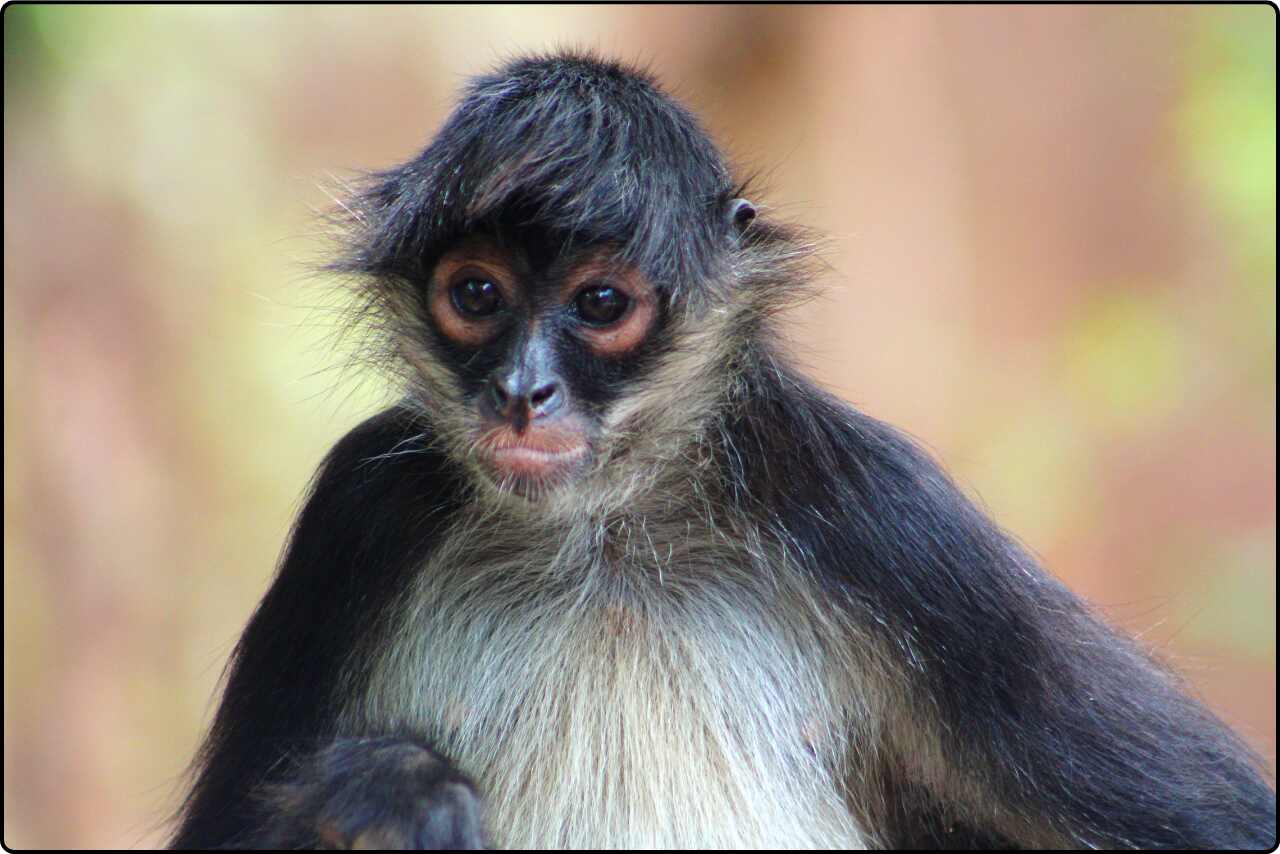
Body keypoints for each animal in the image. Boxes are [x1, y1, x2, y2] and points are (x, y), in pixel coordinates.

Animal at [172, 51, 1280, 850]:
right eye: (475, 293)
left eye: (602, 304)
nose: (523, 394)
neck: (602, 535)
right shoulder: (364, 502)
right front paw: (381, 792)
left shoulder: (877, 509)